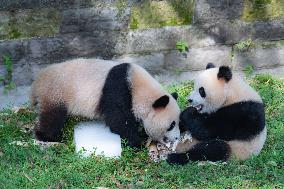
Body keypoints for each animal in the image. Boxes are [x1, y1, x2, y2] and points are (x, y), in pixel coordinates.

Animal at [31, 58, 181, 148]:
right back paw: (47, 137)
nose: (177, 138)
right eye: (172, 125)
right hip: (56, 92)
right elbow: (118, 121)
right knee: (52, 117)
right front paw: (137, 141)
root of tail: (38, 80)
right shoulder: (118, 92)